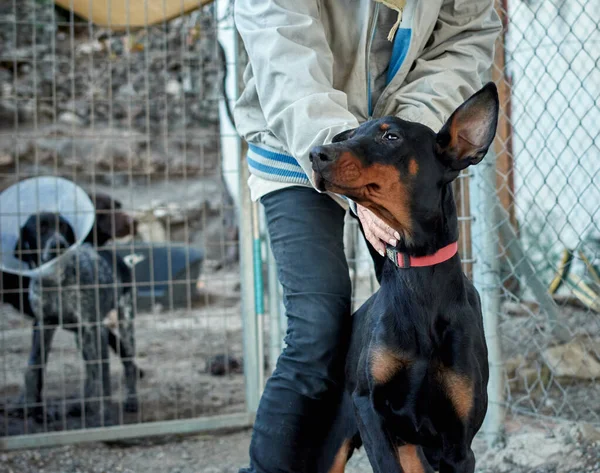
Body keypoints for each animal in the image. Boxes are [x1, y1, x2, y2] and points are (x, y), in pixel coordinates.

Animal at [312, 83, 500, 470]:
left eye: (391, 136)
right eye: (350, 135)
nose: (315, 153)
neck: (419, 281)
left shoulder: (459, 444)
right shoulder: (368, 409)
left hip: (414, 449)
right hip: (335, 441)